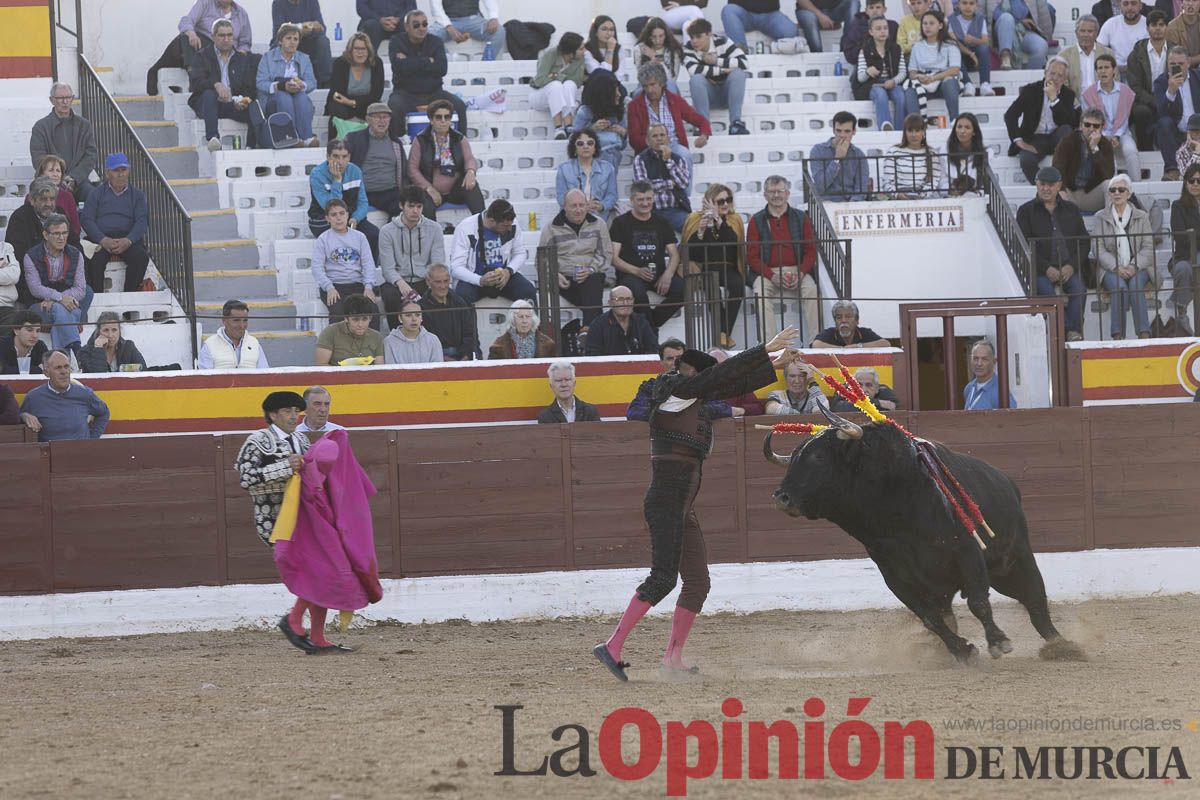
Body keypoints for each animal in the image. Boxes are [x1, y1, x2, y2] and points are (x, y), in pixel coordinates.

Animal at [768, 407, 1089, 662]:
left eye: (817, 458)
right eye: (794, 458)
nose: (781, 497)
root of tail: (1008, 482)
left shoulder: (967, 552)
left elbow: (978, 602)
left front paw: (998, 642)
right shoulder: (896, 577)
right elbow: (931, 619)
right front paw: (962, 650)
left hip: (1013, 561)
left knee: (1035, 600)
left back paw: (1062, 646)